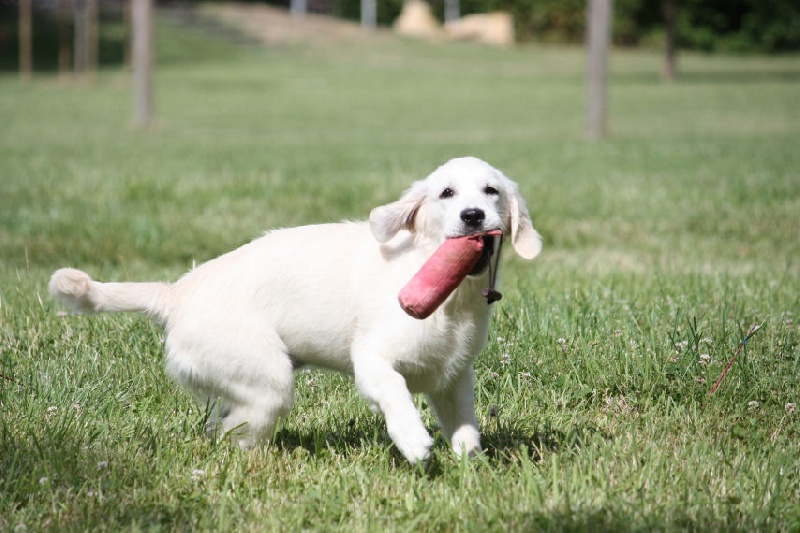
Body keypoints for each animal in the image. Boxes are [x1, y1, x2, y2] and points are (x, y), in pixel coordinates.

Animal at [50, 155, 544, 462]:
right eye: (446, 194)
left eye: (491, 191)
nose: (473, 215)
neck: (451, 297)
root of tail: (178, 292)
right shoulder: (371, 358)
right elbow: (394, 392)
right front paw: (412, 440)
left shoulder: (453, 377)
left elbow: (465, 427)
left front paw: (469, 464)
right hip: (268, 380)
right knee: (234, 435)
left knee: (223, 426)